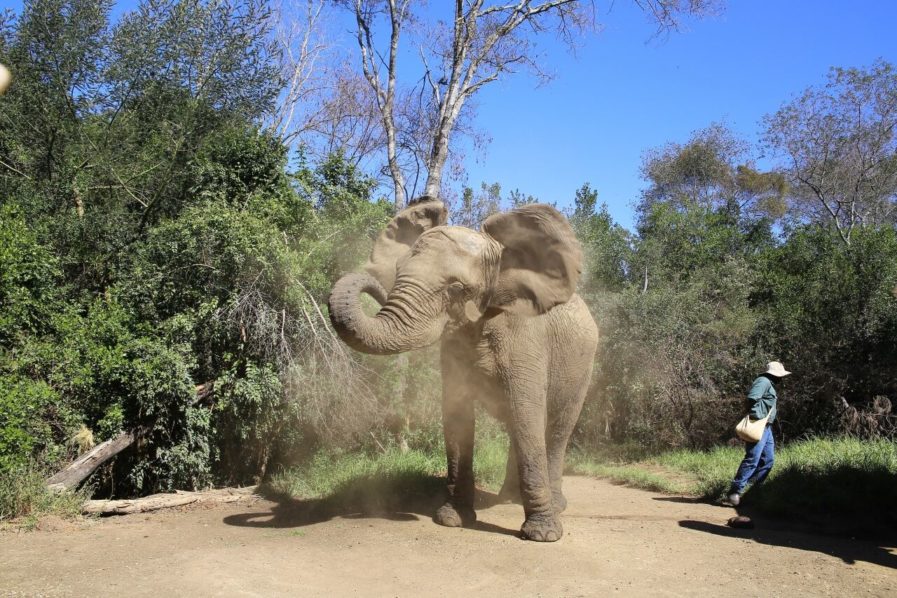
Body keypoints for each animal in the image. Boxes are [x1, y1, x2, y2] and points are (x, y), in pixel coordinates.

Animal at [327, 198, 599, 542]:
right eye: (399, 273)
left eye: (457, 288)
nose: (370, 286)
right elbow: (457, 417)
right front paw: (452, 520)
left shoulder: (528, 339)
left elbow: (527, 416)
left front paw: (543, 536)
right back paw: (508, 498)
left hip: (583, 365)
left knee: (557, 427)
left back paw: (553, 506)